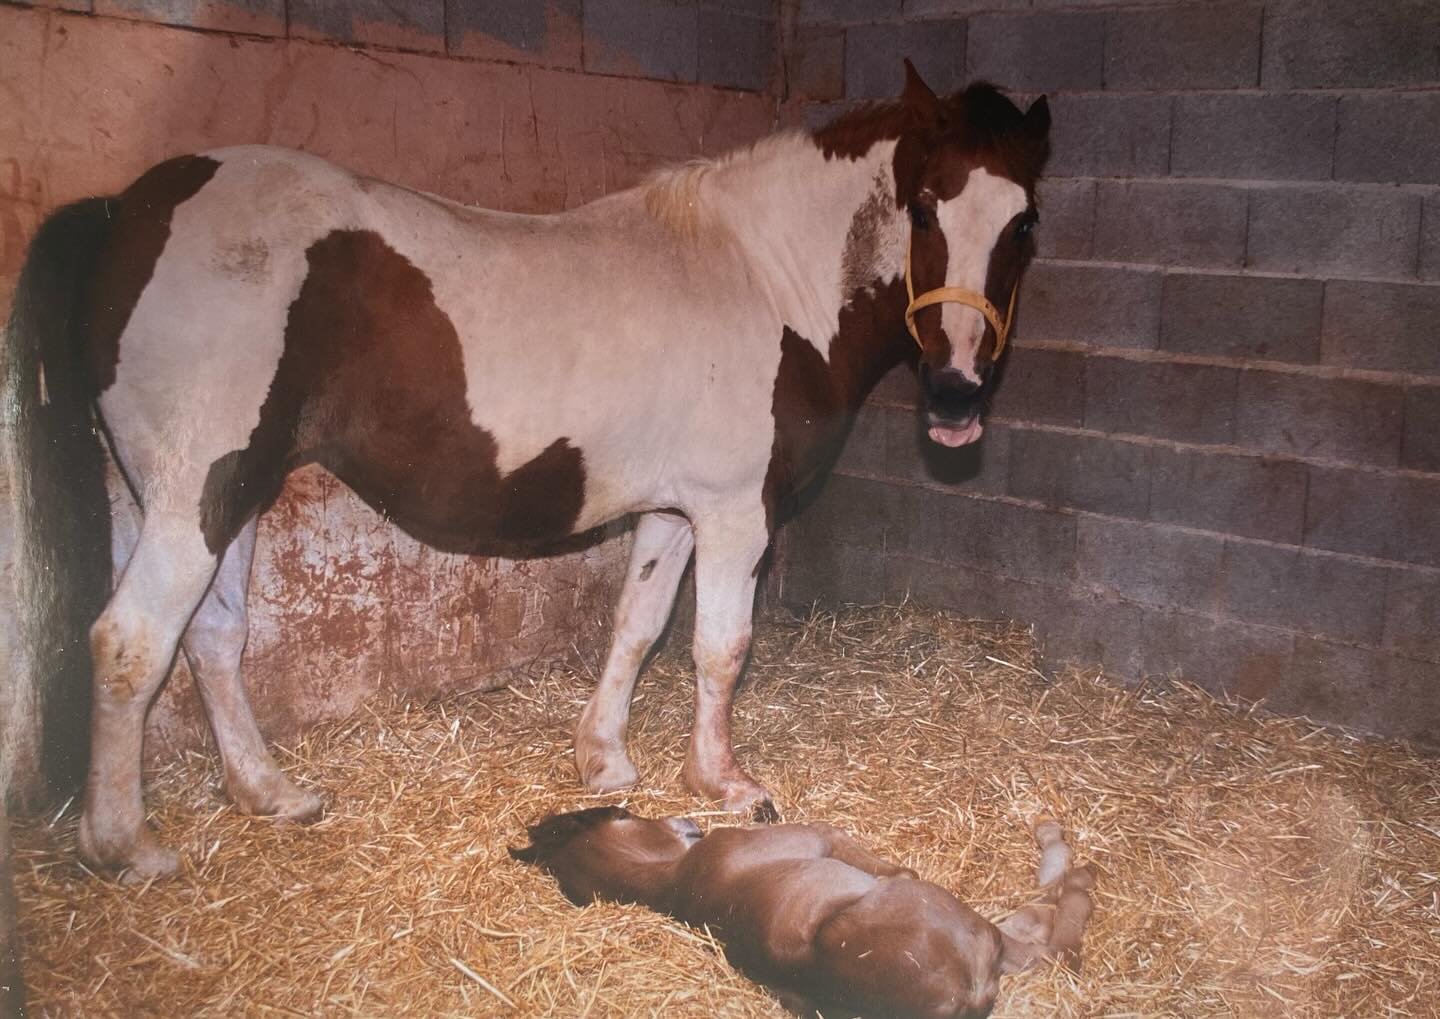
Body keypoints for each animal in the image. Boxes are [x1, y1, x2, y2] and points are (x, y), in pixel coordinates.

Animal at [2, 61, 1050, 882]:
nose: (956, 396)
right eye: (924, 205)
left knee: (212, 637)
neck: (760, 278)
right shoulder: (732, 514)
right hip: (198, 496)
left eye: (1025, 224)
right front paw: (725, 782)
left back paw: (269, 793)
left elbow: (637, 625)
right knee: (132, 641)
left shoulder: (676, 511)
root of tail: (126, 210)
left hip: (202, 496)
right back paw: (125, 844)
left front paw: (605, 760)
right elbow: (721, 647)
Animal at [511, 806, 1096, 1018]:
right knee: (1052, 944)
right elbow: (899, 868)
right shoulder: (821, 838)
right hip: (965, 923)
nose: (689, 825)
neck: (672, 881)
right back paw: (1071, 865)